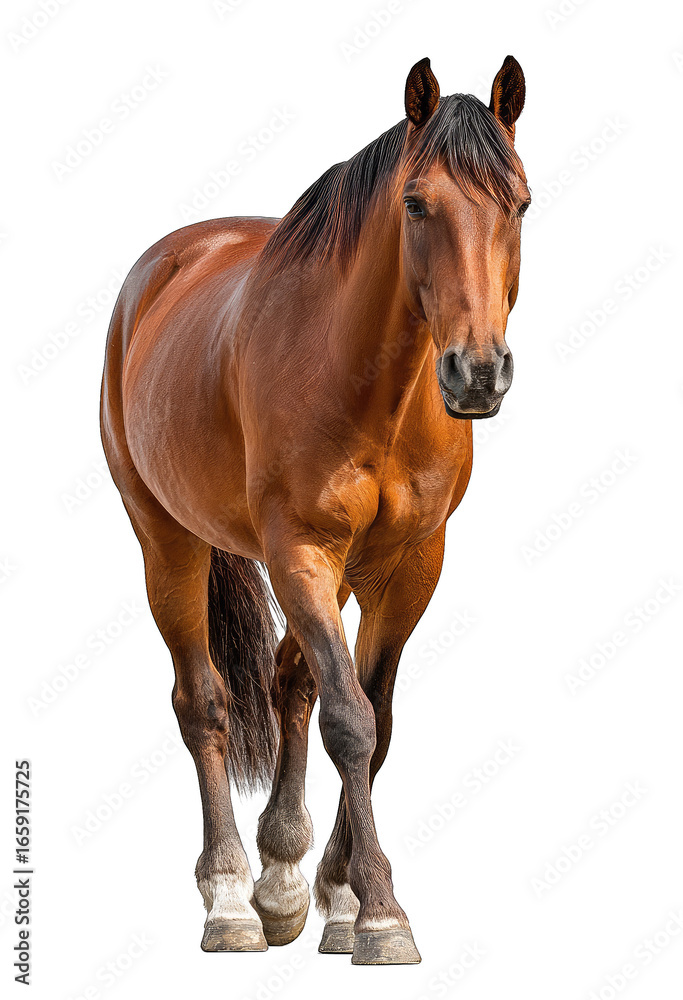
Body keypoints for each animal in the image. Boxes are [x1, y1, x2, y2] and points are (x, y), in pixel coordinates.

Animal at [100, 55, 529, 965]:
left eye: (519, 203)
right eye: (415, 203)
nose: (478, 373)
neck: (369, 382)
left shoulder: (410, 565)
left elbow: (375, 718)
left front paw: (338, 896)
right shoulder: (298, 549)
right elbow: (350, 722)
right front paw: (381, 913)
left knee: (289, 681)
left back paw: (283, 879)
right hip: (167, 540)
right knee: (205, 702)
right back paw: (230, 896)